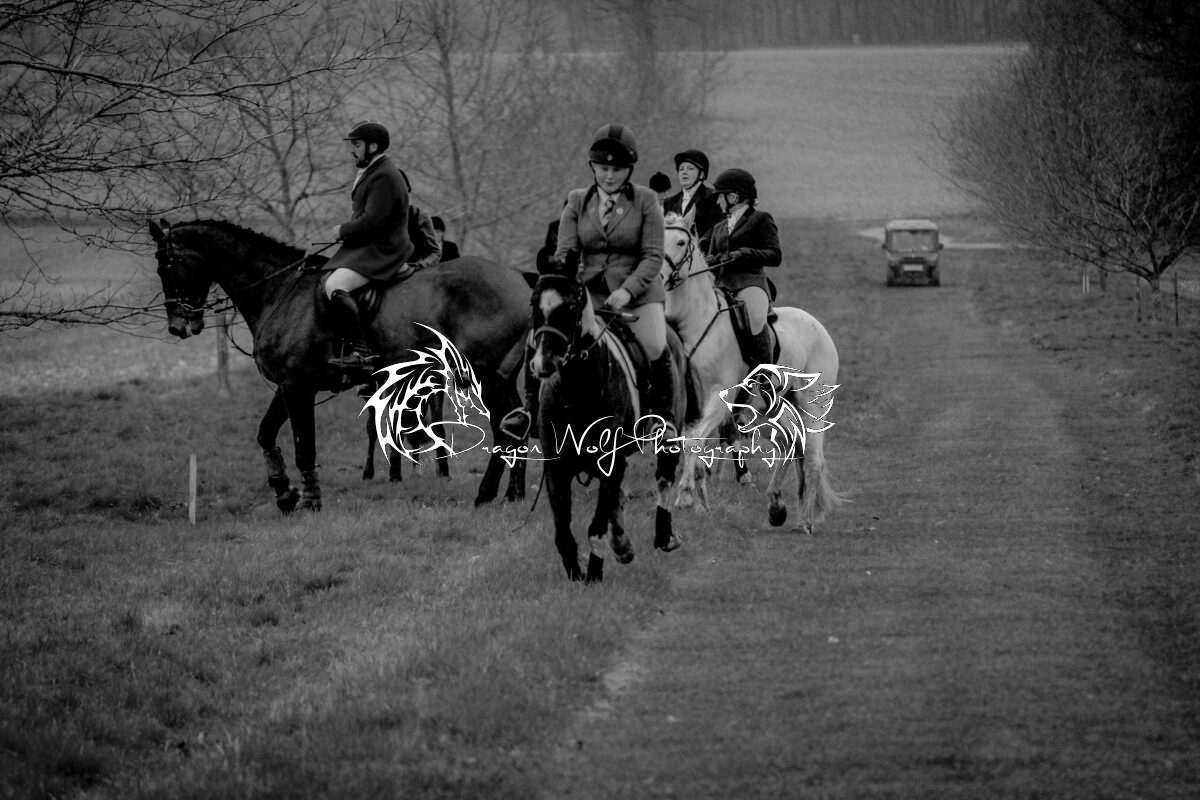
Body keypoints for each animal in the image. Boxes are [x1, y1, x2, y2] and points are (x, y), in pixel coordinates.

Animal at [148, 219, 530, 511]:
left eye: (167, 266)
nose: (178, 326)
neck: (279, 291)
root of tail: (520, 282)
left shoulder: (298, 388)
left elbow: (304, 447)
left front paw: (310, 500)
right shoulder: (287, 387)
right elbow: (265, 433)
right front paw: (284, 492)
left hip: (486, 376)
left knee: (505, 428)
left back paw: (485, 494)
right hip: (502, 377)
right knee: (517, 425)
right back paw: (513, 494)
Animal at [529, 272, 686, 582]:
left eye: (569, 308)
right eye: (534, 306)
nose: (542, 364)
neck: (577, 390)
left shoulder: (611, 463)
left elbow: (595, 529)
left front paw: (593, 575)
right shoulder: (556, 467)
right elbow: (563, 533)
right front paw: (576, 574)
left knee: (664, 475)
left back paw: (664, 537)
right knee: (616, 498)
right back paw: (622, 545)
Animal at [661, 214, 845, 533]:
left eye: (681, 242)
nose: (659, 276)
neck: (697, 324)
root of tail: (818, 327)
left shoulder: (718, 402)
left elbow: (695, 442)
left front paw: (685, 497)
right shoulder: (692, 406)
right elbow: (693, 445)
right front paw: (701, 504)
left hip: (812, 406)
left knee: (813, 459)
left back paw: (805, 523)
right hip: (773, 408)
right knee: (790, 444)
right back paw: (778, 507)